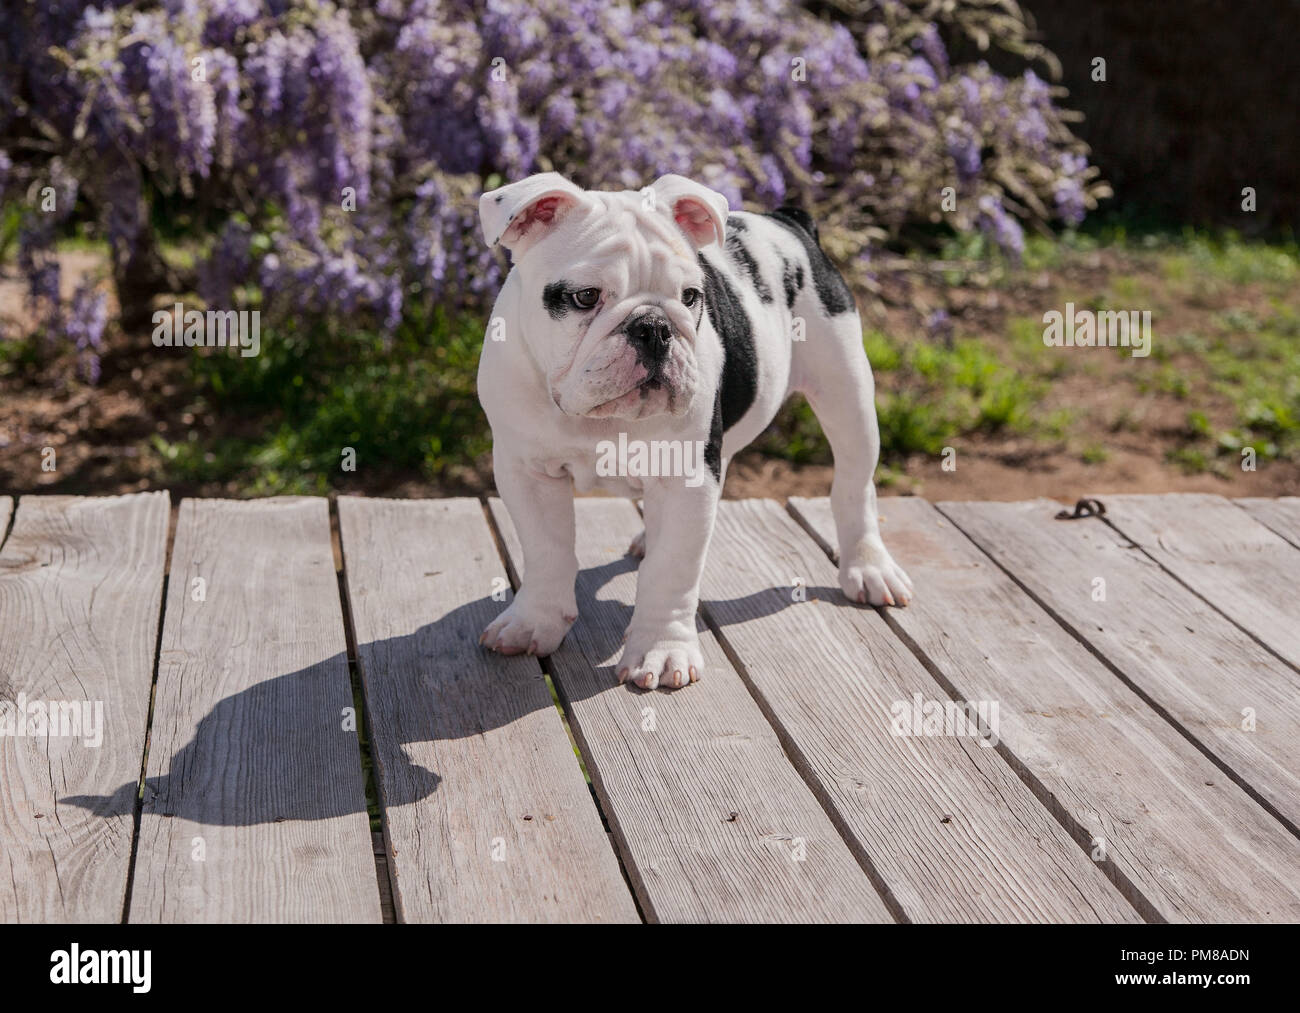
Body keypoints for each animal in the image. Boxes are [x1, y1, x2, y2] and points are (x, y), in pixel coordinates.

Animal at [478, 172, 915, 691]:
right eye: (585, 297)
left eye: (690, 296)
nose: (654, 327)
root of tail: (788, 221)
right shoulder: (527, 470)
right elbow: (547, 551)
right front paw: (534, 623)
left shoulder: (686, 476)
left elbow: (672, 568)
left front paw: (661, 650)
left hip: (847, 392)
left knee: (854, 485)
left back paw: (870, 569)